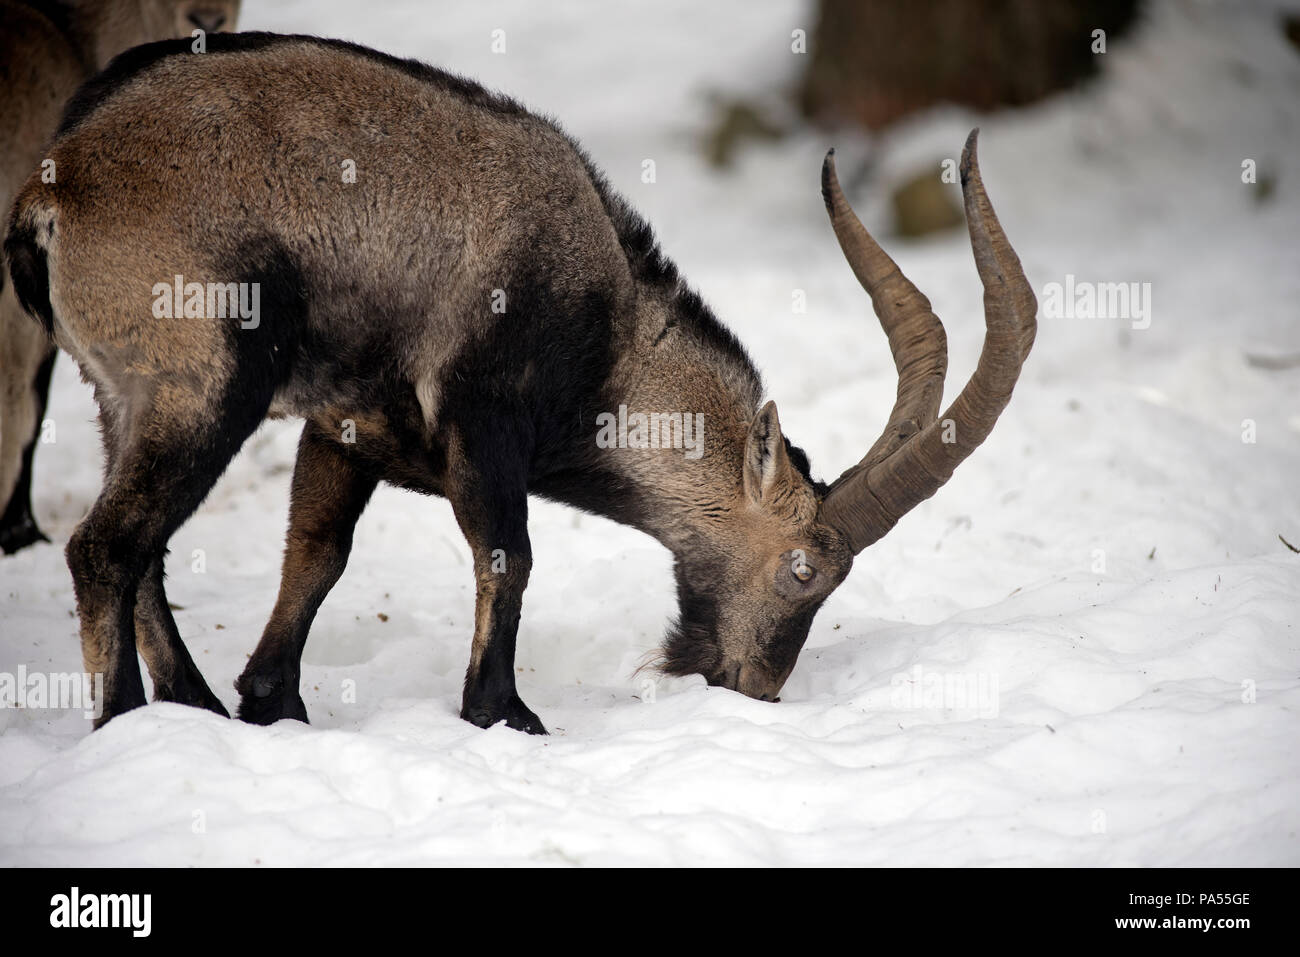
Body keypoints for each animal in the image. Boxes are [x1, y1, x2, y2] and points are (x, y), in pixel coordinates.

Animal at [4, 33, 1036, 733]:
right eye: (805, 568)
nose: (755, 685)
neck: (612, 330)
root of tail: (61, 184)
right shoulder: (483, 421)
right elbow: (510, 555)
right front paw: (503, 712)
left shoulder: (344, 427)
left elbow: (318, 552)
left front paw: (272, 700)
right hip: (205, 387)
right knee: (106, 547)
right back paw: (126, 720)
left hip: (126, 398)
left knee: (144, 549)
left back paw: (193, 704)